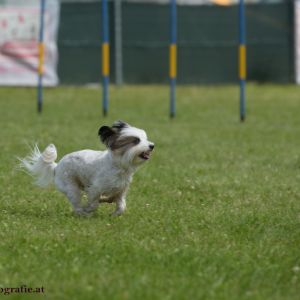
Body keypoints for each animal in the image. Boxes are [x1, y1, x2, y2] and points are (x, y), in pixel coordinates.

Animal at [19, 120, 155, 217]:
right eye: (136, 141)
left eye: (145, 138)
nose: (152, 145)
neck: (118, 166)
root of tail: (56, 167)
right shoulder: (95, 188)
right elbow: (94, 203)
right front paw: (88, 209)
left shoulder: (120, 190)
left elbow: (121, 206)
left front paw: (113, 213)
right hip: (71, 188)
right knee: (76, 205)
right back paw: (83, 213)